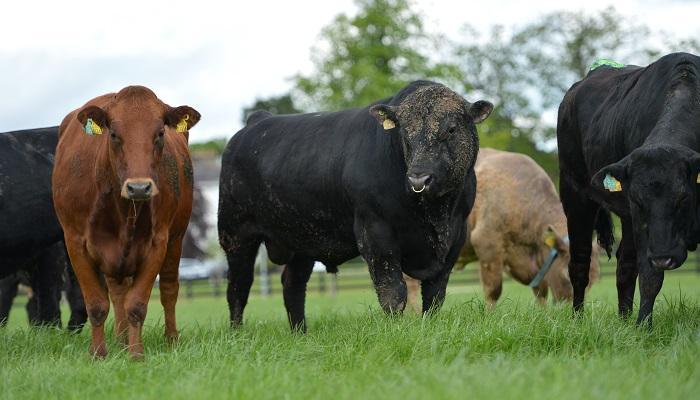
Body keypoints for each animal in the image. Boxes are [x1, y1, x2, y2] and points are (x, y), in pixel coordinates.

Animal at [52, 86, 200, 358]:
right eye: (113, 133)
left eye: (160, 133)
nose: (139, 187)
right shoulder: (75, 243)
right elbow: (96, 304)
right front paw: (98, 353)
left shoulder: (158, 242)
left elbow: (137, 305)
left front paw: (136, 355)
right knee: (117, 292)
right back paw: (120, 341)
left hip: (176, 237)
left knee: (169, 289)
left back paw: (169, 340)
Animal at [218, 80, 493, 332]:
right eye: (404, 133)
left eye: (451, 129)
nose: (419, 179)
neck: (435, 216)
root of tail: (257, 120)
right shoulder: (375, 233)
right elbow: (393, 292)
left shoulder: (455, 238)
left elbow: (435, 294)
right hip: (236, 233)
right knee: (238, 286)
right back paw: (237, 334)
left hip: (301, 238)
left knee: (292, 285)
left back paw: (300, 333)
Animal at [405, 148, 600, 311]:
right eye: (567, 275)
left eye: (593, 280)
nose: (570, 313)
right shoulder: (487, 243)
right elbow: (494, 289)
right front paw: (490, 315)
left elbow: (540, 288)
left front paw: (542, 313)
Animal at [557, 52, 700, 326]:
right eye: (637, 200)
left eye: (684, 197)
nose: (663, 257)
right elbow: (650, 276)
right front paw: (644, 326)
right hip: (575, 196)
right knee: (580, 262)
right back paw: (578, 319)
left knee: (625, 265)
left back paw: (624, 321)